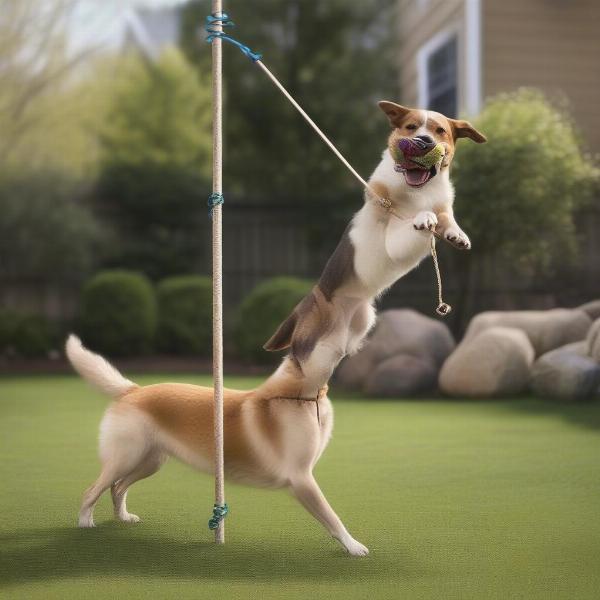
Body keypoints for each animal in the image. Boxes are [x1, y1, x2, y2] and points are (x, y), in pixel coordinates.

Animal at [63, 336, 368, 556]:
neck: (300, 397)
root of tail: (134, 390)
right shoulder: (302, 479)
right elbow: (332, 517)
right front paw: (354, 547)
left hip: (150, 462)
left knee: (117, 489)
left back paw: (123, 518)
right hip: (125, 459)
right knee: (93, 490)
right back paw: (85, 524)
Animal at [264, 101, 486, 390]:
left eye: (440, 131)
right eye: (411, 127)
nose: (423, 141)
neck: (420, 190)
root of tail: (307, 301)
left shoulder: (443, 206)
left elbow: (446, 216)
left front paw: (457, 234)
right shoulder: (392, 236)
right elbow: (420, 219)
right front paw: (425, 218)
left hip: (342, 340)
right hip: (314, 351)